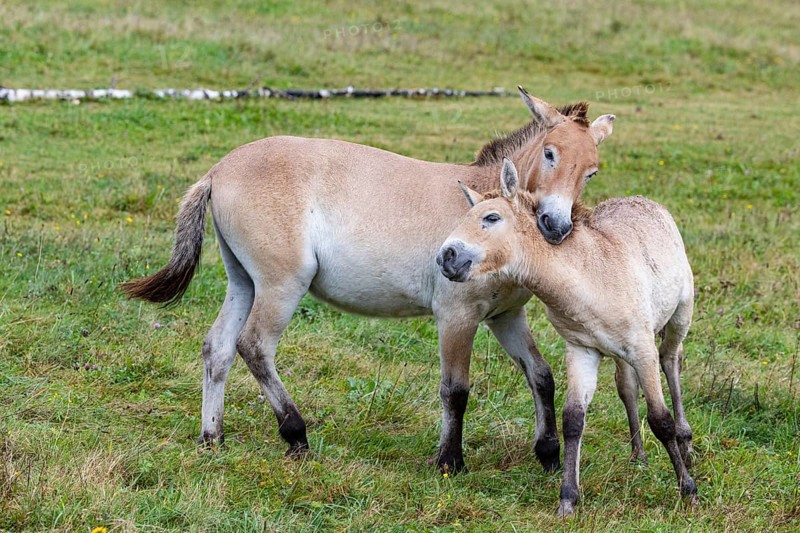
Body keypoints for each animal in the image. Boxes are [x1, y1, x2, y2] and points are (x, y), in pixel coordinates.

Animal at [122, 89, 615, 473]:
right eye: (550, 154)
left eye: (592, 171)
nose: (555, 226)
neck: (482, 208)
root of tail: (217, 171)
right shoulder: (457, 318)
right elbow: (455, 390)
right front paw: (449, 462)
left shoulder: (505, 317)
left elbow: (541, 375)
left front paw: (548, 454)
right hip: (281, 287)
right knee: (254, 346)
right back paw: (295, 434)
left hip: (244, 282)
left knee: (219, 348)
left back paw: (212, 438)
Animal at [438, 159, 696, 513]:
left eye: (491, 218)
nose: (445, 257)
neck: (590, 277)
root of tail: (644, 201)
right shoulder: (581, 349)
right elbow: (573, 420)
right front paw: (568, 499)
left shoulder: (643, 348)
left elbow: (660, 419)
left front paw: (688, 490)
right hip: (619, 353)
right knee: (627, 387)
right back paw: (638, 455)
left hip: (679, 317)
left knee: (671, 361)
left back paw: (686, 443)